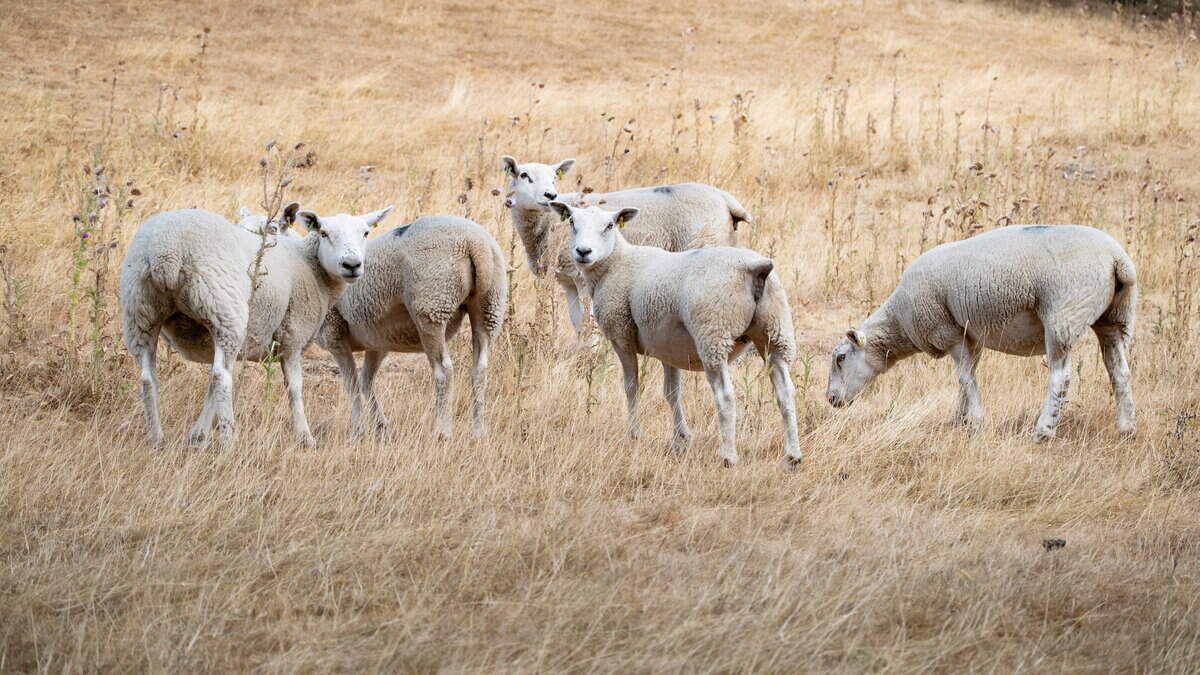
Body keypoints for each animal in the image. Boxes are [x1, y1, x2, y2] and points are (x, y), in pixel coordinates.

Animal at [119, 202, 393, 448]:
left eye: (365, 233)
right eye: (324, 233)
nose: (352, 265)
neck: (309, 264)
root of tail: (165, 251)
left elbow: (209, 390)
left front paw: (197, 435)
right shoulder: (292, 335)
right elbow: (294, 388)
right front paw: (305, 437)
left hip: (140, 313)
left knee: (149, 379)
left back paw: (157, 438)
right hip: (224, 312)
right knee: (221, 377)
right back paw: (229, 441)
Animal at [316, 215, 508, 440]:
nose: (351, 265)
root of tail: (475, 244)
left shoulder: (334, 335)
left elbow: (352, 384)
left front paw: (357, 431)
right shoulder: (377, 342)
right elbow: (366, 381)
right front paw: (380, 425)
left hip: (432, 305)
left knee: (444, 370)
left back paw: (442, 431)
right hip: (490, 303)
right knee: (480, 369)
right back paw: (478, 431)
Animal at [502, 155, 752, 334]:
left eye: (554, 177)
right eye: (524, 175)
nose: (550, 195)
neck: (544, 223)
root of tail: (726, 200)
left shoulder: (583, 277)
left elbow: (589, 323)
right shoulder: (568, 280)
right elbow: (577, 322)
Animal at [547, 200, 800, 468]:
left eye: (609, 225)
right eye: (572, 222)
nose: (583, 252)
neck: (616, 263)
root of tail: (756, 268)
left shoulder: (621, 334)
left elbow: (631, 385)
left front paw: (635, 433)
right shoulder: (668, 347)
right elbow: (671, 392)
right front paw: (681, 438)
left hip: (713, 333)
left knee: (725, 396)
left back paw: (728, 456)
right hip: (775, 332)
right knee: (785, 392)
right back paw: (792, 456)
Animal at [825, 224, 1137, 441]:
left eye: (840, 358)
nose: (830, 400)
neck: (900, 320)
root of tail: (1118, 259)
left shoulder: (948, 331)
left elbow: (965, 377)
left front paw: (975, 422)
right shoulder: (971, 337)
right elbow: (967, 378)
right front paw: (959, 419)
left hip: (1063, 315)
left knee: (1061, 377)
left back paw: (1043, 431)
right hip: (1115, 318)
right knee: (1119, 371)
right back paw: (1127, 430)